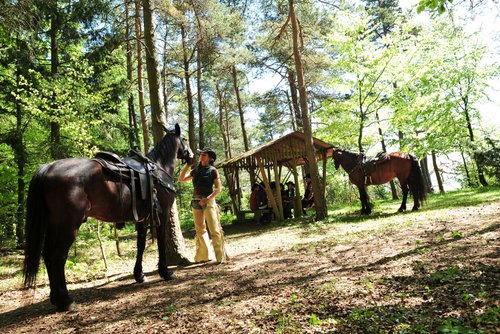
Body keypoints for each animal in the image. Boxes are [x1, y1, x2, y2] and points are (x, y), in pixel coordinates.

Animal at [22, 124, 192, 312]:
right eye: (184, 139)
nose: (192, 155)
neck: (158, 170)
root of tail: (48, 167)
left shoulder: (142, 219)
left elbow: (140, 245)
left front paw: (139, 275)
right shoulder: (161, 215)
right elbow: (161, 243)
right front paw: (165, 272)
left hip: (54, 224)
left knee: (47, 255)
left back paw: (55, 297)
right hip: (68, 225)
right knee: (58, 257)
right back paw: (65, 301)